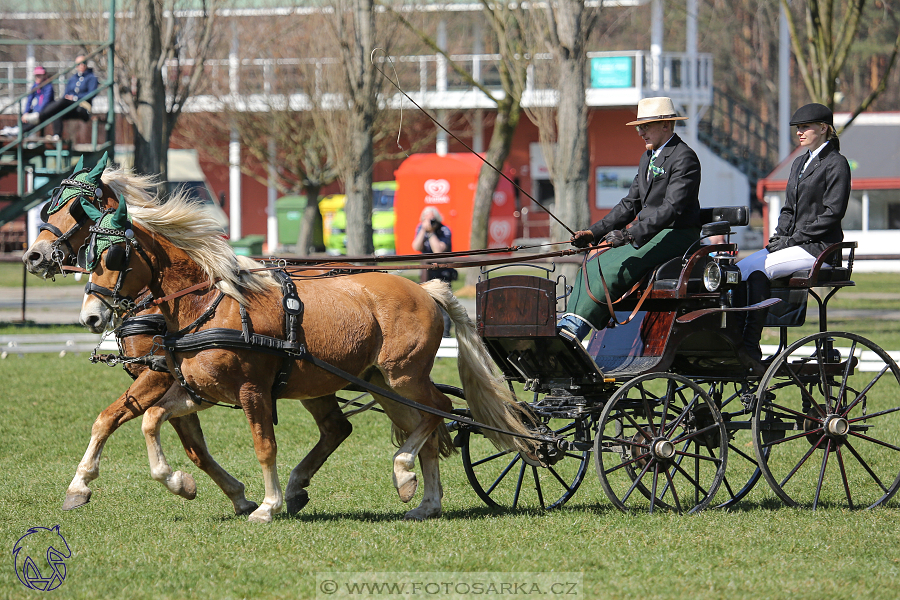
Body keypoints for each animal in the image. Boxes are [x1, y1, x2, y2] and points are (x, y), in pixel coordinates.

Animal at [22, 158, 260, 516]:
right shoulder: (174, 380)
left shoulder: (159, 374)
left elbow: (109, 418)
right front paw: (234, 494)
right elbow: (195, 449)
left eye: (77, 209)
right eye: (49, 208)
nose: (33, 257)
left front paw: (81, 484)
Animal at [79, 196, 536, 520]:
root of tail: (425, 289)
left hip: (403, 376)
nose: (90, 315)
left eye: (112, 257)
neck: (211, 306)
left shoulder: (251, 390)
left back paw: (403, 472)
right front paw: (178, 482)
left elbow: (264, 445)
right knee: (420, 422)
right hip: (381, 383)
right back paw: (424, 499)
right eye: (88, 254)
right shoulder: (198, 390)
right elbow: (151, 420)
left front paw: (267, 506)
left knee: (439, 410)